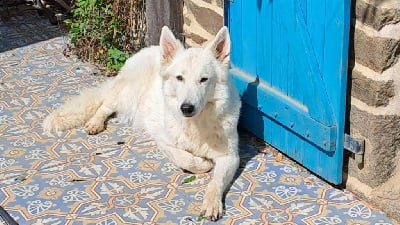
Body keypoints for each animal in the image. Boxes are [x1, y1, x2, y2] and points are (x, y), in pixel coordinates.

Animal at [45, 25, 242, 220]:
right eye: (180, 78)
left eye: (204, 79)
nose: (186, 108)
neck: (196, 125)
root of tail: (148, 49)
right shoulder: (163, 141)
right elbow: (185, 159)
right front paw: (204, 163)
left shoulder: (230, 157)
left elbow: (216, 182)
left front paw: (212, 202)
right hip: (126, 94)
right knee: (105, 105)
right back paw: (95, 123)